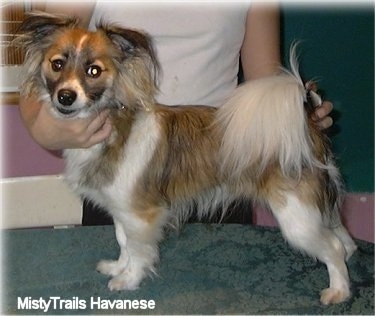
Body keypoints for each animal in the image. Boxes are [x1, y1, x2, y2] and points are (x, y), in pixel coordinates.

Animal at [16, 11, 358, 304]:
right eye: (57, 65)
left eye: (94, 71)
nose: (65, 96)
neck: (115, 128)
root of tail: (306, 120)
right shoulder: (123, 212)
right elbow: (124, 242)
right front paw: (118, 267)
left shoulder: (143, 215)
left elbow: (139, 250)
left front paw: (129, 280)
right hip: (313, 209)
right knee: (342, 237)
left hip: (296, 216)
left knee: (333, 248)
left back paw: (339, 291)